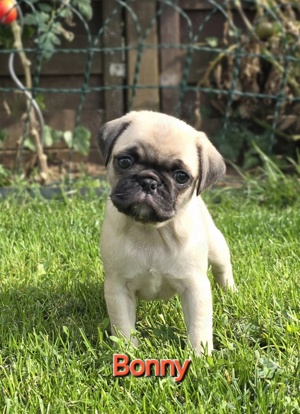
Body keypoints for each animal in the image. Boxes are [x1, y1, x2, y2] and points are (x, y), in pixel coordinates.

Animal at [97, 111, 236, 356]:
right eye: (124, 161)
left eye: (181, 176)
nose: (149, 181)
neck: (152, 232)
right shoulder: (118, 288)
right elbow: (123, 326)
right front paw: (128, 353)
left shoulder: (195, 288)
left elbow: (199, 327)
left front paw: (200, 357)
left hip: (216, 246)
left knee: (222, 266)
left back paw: (229, 290)